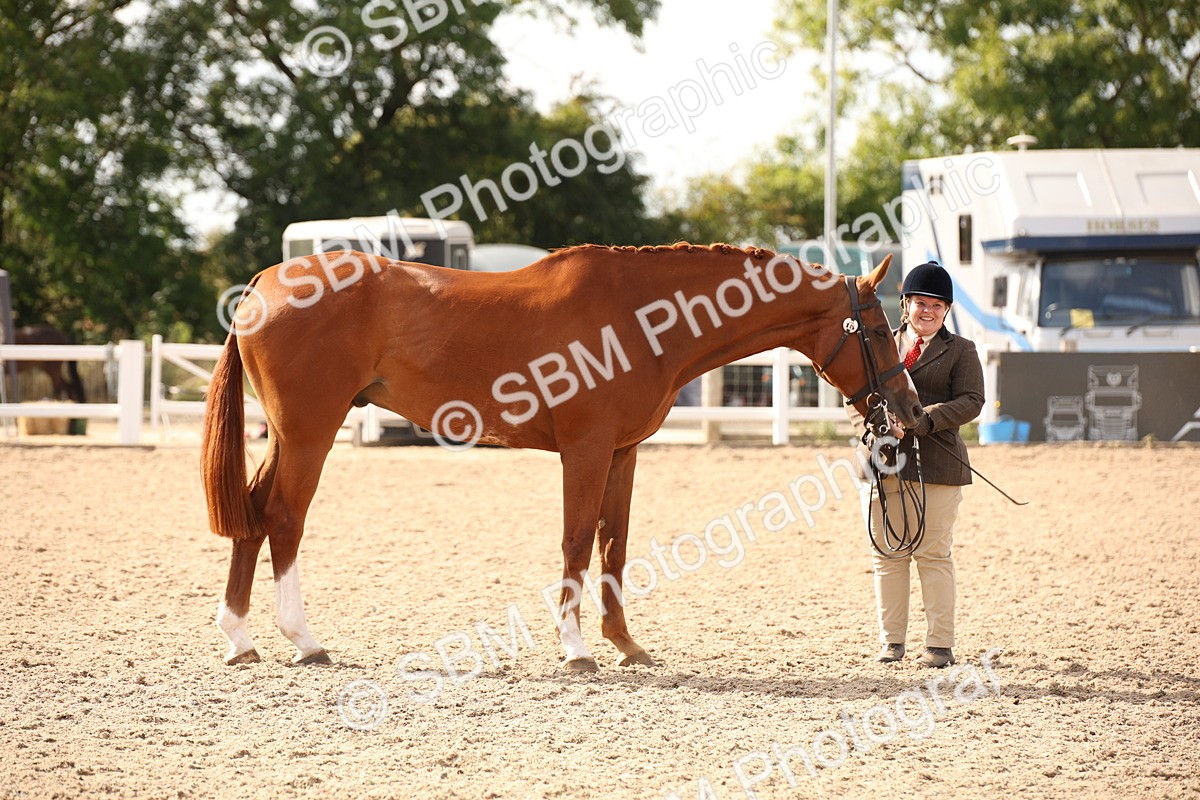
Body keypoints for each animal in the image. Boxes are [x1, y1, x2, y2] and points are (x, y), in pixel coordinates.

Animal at [201, 243, 922, 669]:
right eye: (880, 327)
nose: (910, 410)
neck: (642, 317)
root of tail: (265, 282)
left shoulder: (624, 453)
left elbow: (614, 544)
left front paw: (626, 645)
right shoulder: (586, 449)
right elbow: (577, 540)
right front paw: (576, 649)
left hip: (287, 436)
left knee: (254, 514)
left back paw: (240, 639)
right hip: (309, 434)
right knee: (284, 518)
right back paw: (303, 641)